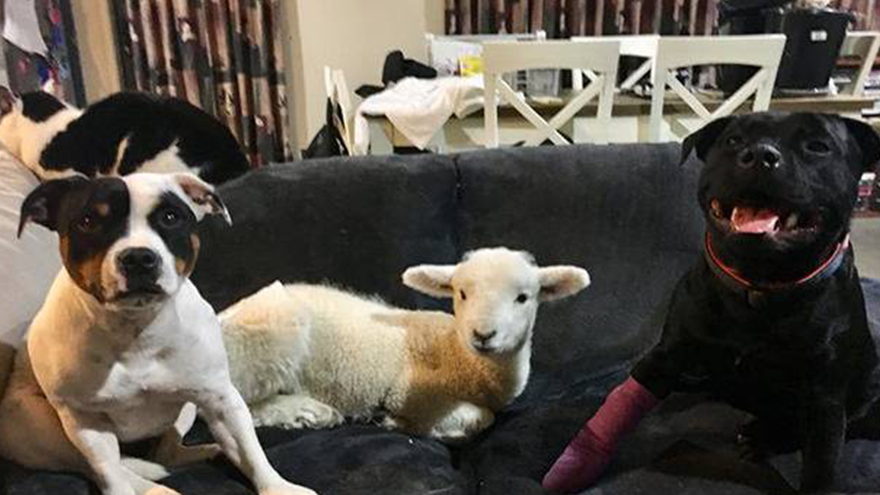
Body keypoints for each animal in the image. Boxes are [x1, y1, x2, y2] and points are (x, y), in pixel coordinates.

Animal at [219, 247, 590, 442]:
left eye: (523, 298)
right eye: (461, 293)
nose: (484, 334)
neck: (458, 356)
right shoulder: (411, 393)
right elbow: (480, 419)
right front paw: (400, 423)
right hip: (270, 339)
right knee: (239, 403)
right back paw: (308, 412)